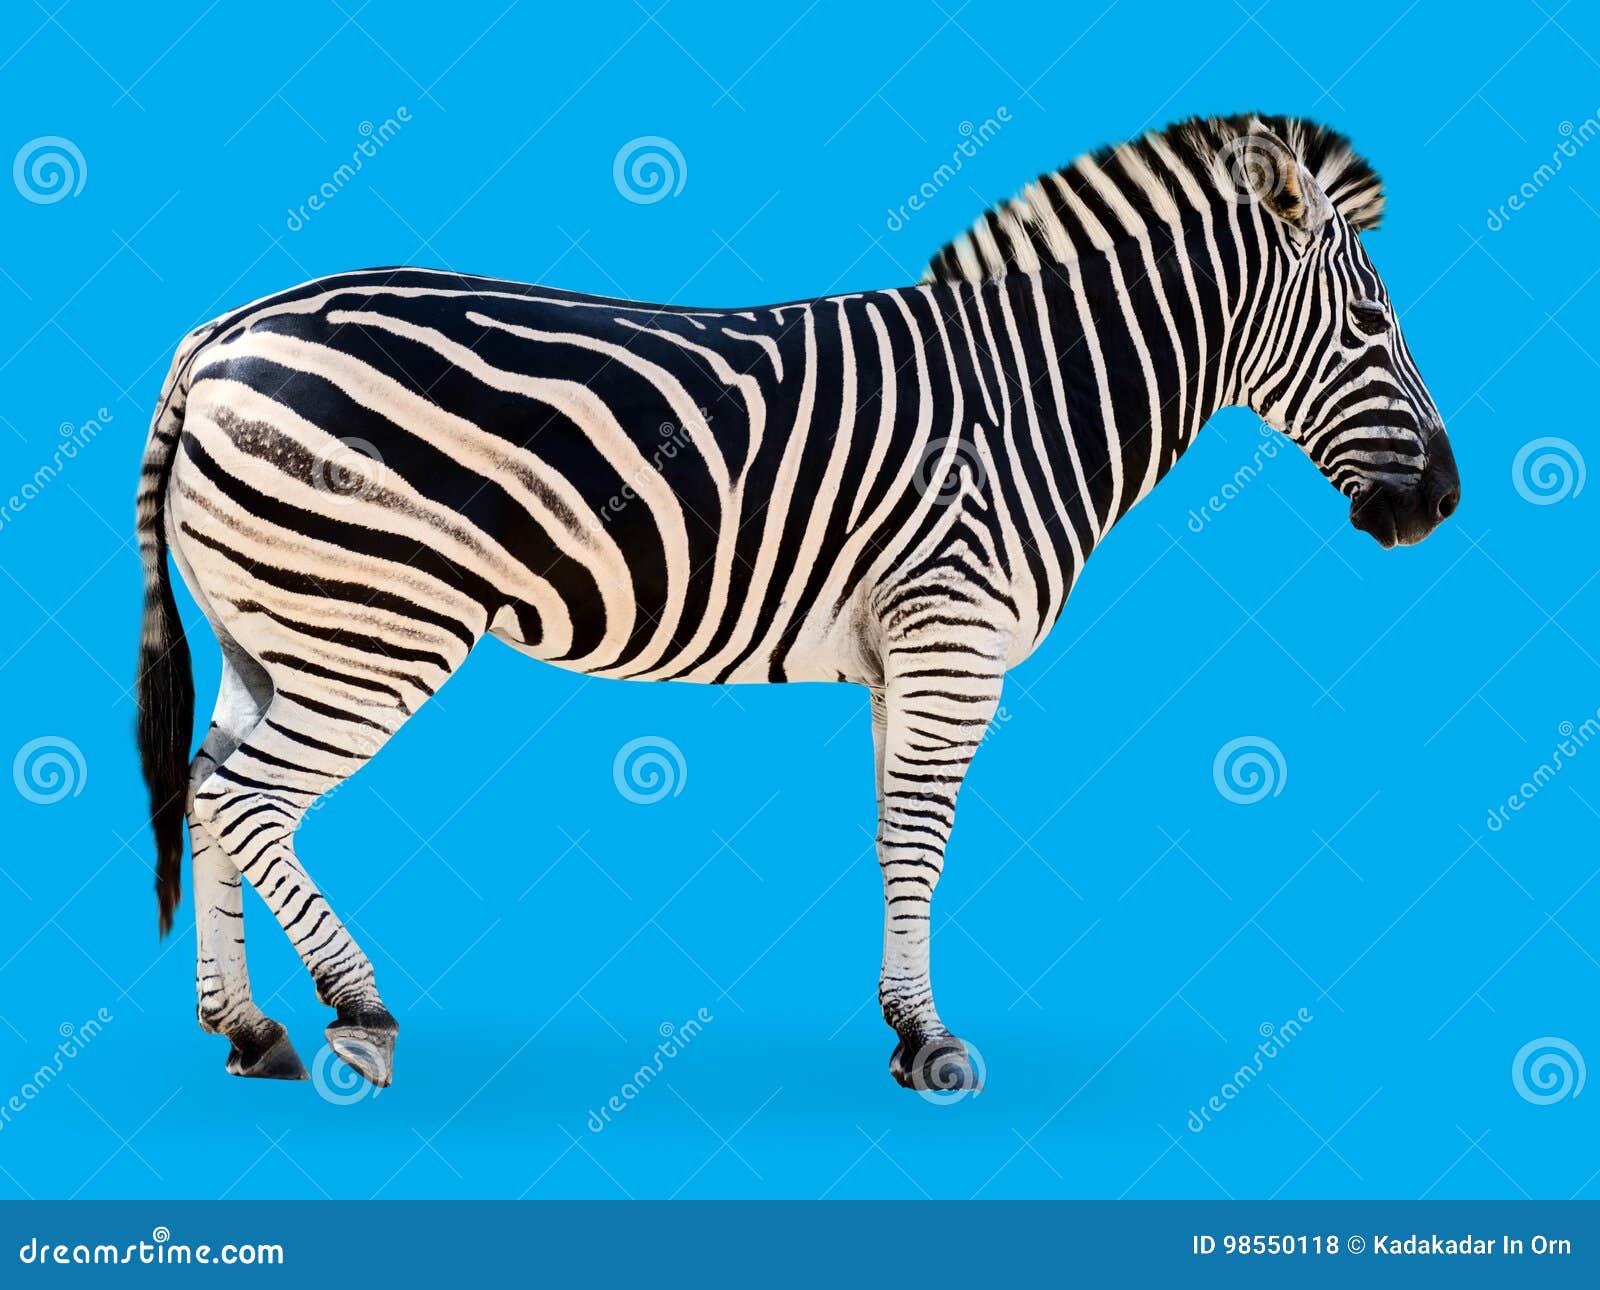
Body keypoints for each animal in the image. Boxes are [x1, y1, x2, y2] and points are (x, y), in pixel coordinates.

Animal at [135, 113, 1459, 1093]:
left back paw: (247, 1030)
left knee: (204, 790)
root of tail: (220, 333)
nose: (1440, 503)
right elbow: (921, 839)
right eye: (1373, 323)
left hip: (272, 630)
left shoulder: (905, 657)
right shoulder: (952, 641)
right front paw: (931, 1043)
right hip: (370, 626)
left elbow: (889, 838)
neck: (1026, 402)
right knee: (249, 799)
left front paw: (898, 1022)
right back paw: (357, 1013)